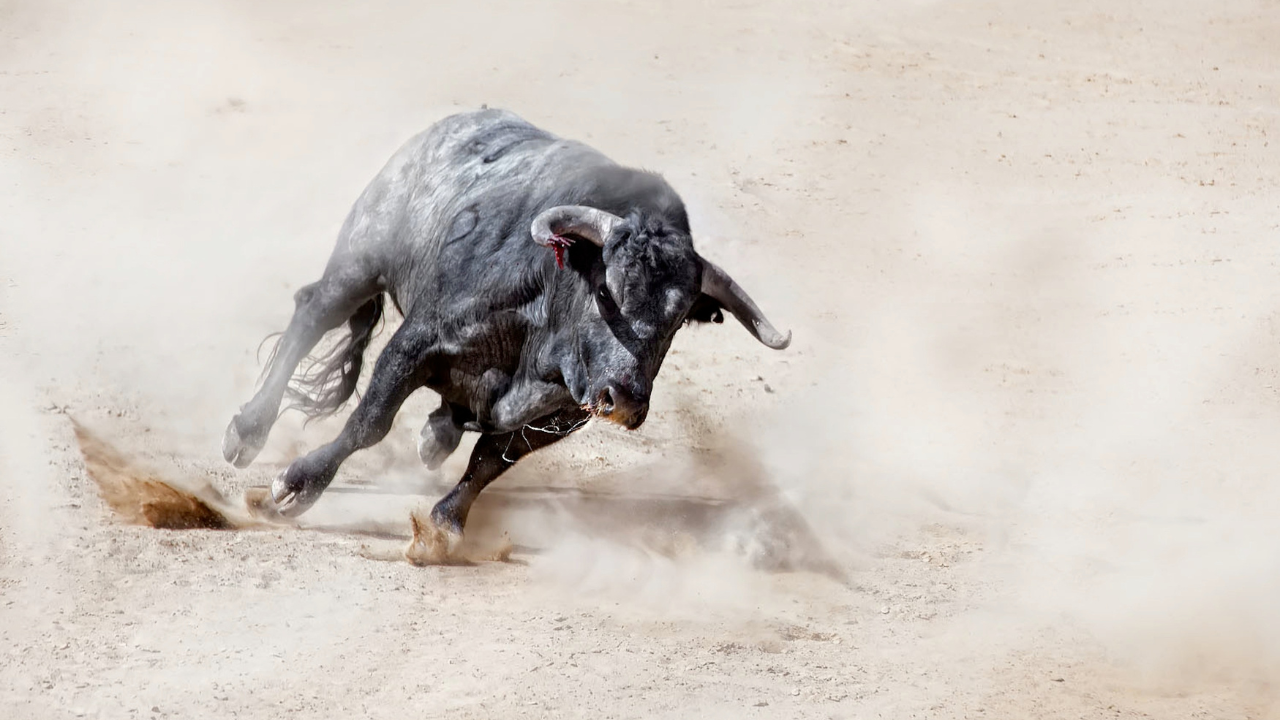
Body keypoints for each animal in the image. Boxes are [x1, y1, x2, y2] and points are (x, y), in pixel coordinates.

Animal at [220, 106, 788, 545]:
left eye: (675, 322)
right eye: (606, 291)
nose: (624, 399)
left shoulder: (561, 416)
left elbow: (491, 460)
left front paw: (444, 528)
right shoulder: (416, 344)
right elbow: (371, 421)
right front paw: (296, 486)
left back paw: (437, 433)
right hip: (360, 262)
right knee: (312, 313)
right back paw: (247, 432)